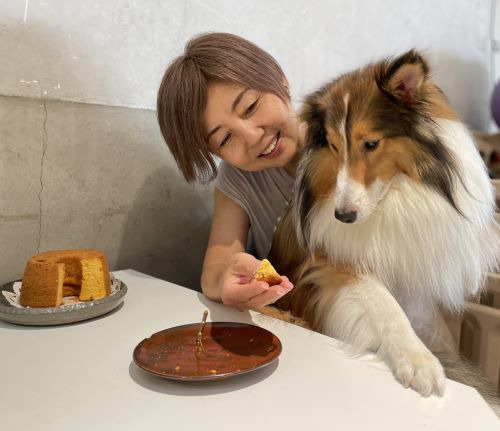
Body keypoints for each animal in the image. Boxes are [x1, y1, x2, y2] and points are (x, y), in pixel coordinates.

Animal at [270, 49, 500, 398]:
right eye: (334, 146)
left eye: (371, 143)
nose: (344, 217)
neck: (393, 198)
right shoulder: (333, 264)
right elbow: (386, 304)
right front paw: (420, 361)